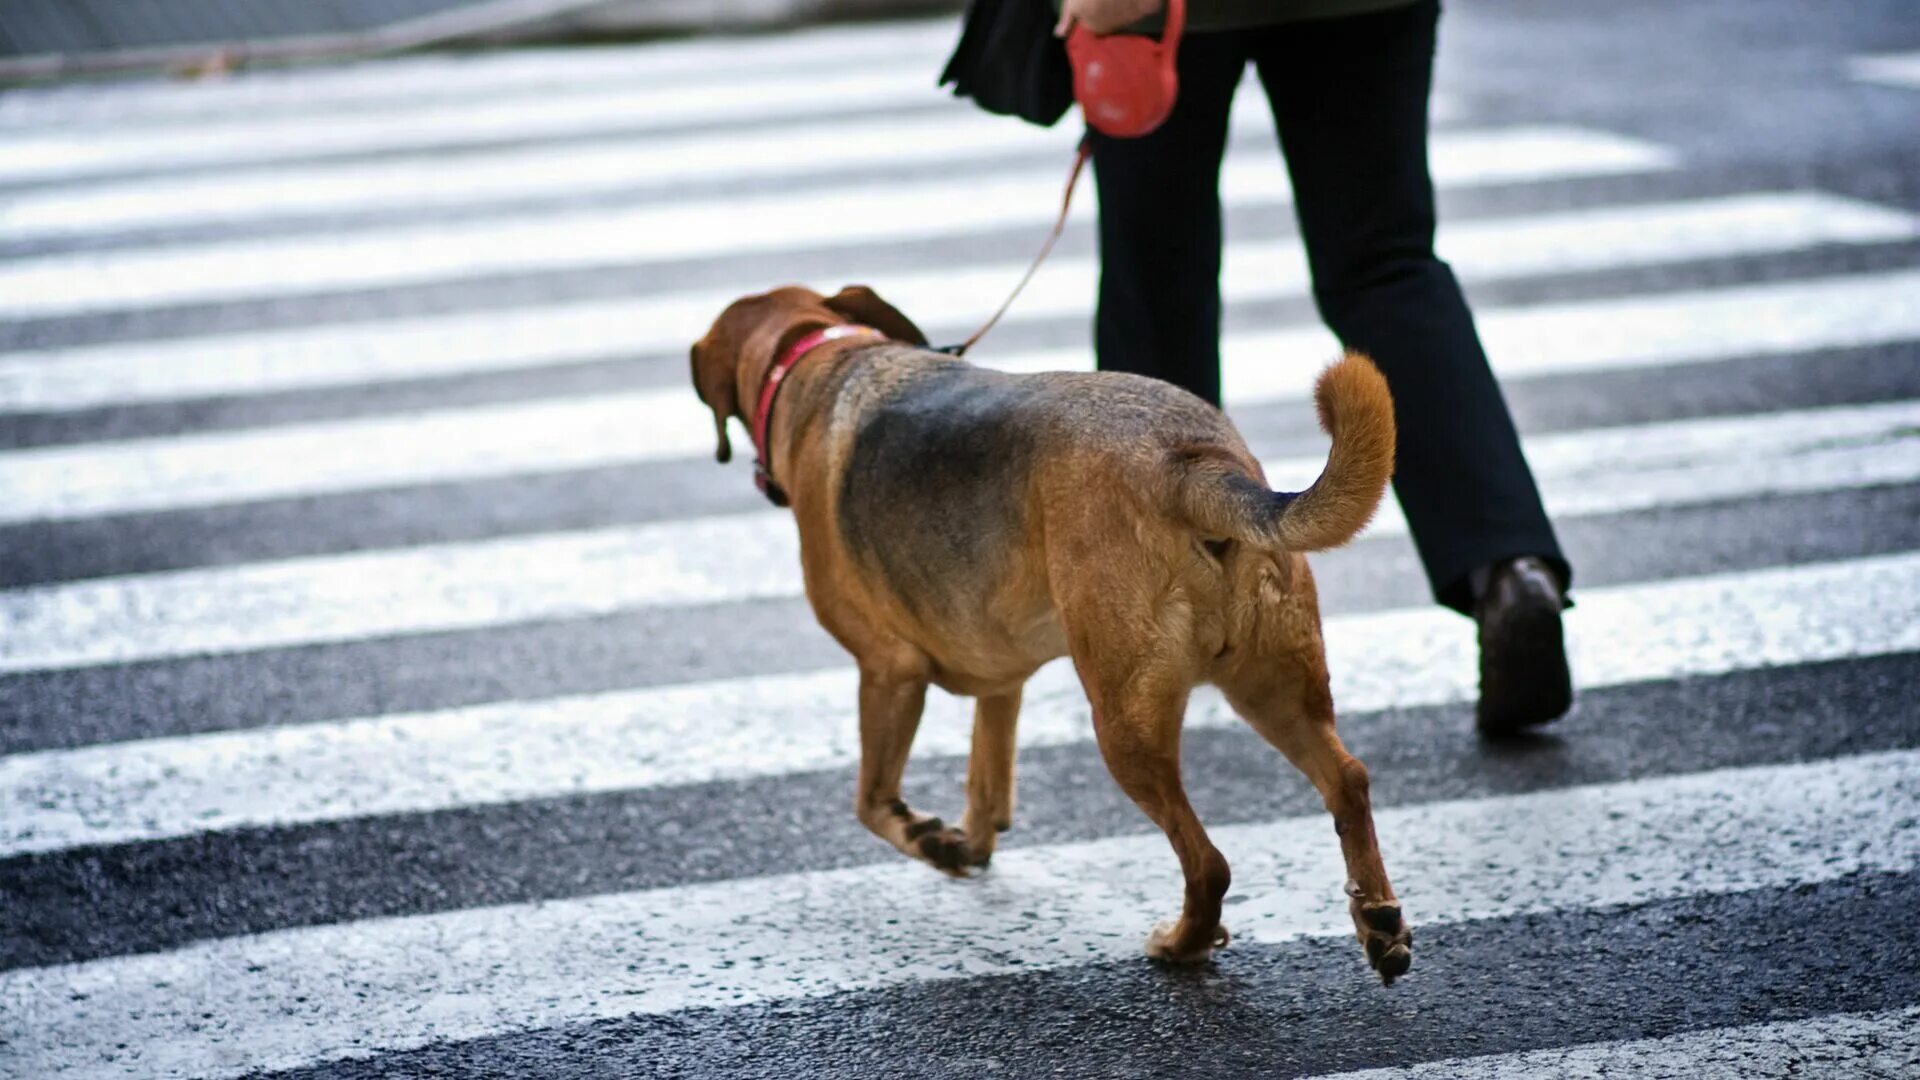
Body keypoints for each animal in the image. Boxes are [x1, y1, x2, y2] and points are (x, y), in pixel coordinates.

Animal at [691, 278, 1413, 976]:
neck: (818, 355)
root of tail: (1190, 465)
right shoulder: (996, 677)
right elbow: (985, 776)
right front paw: (968, 844)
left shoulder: (888, 673)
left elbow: (871, 800)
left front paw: (929, 840)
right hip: (1275, 686)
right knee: (1348, 780)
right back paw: (1377, 919)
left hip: (1125, 723)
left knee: (1208, 863)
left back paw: (1184, 944)